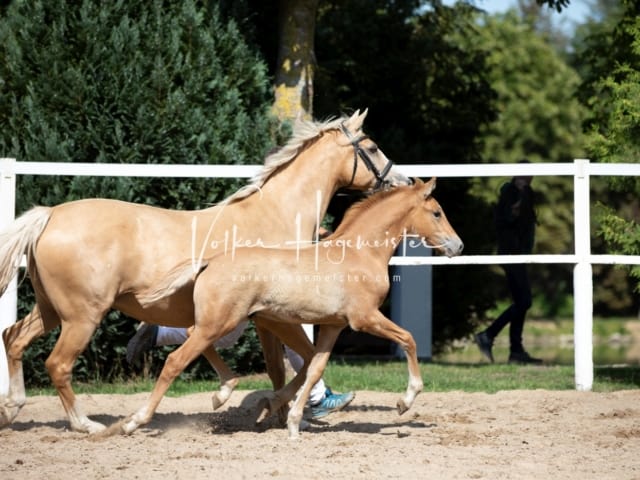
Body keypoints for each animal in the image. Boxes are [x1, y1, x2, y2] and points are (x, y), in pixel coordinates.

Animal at [127, 179, 462, 438]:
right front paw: (406, 401)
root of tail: (211, 260)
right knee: (175, 360)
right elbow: (408, 339)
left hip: (223, 322)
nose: (457, 246)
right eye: (436, 212)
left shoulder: (333, 326)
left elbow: (314, 368)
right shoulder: (364, 318)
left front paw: (290, 421)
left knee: (190, 336)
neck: (359, 253)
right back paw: (134, 421)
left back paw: (222, 392)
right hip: (222, 323)